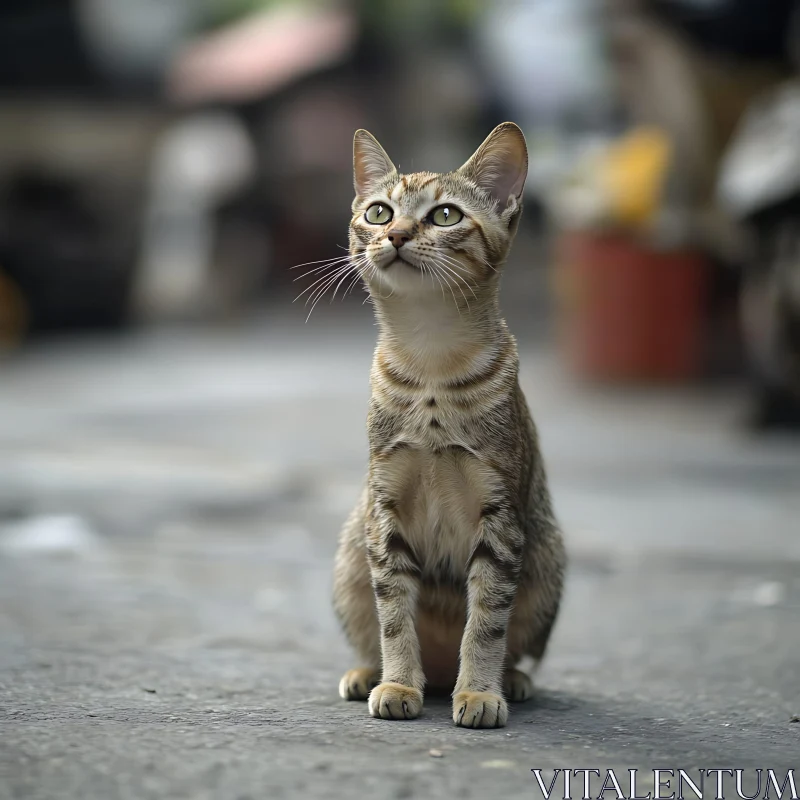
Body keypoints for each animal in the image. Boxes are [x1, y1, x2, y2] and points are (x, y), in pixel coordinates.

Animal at [328, 122, 564, 728]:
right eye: (380, 212)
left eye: (445, 215)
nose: (396, 235)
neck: (431, 364)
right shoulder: (385, 507)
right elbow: (394, 617)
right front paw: (396, 683)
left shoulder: (499, 515)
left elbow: (485, 623)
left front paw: (479, 692)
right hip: (350, 558)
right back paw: (370, 673)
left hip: (547, 561)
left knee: (513, 644)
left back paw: (509, 680)